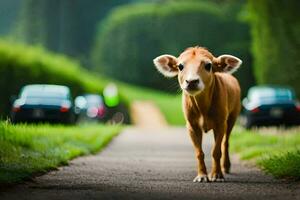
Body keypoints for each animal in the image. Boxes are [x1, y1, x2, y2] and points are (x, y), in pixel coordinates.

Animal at [154, 47, 243, 183]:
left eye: (208, 65)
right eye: (180, 66)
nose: (191, 81)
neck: (203, 108)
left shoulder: (220, 123)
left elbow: (216, 151)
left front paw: (216, 175)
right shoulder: (191, 125)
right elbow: (199, 152)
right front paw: (202, 175)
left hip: (233, 116)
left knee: (226, 142)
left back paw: (226, 167)